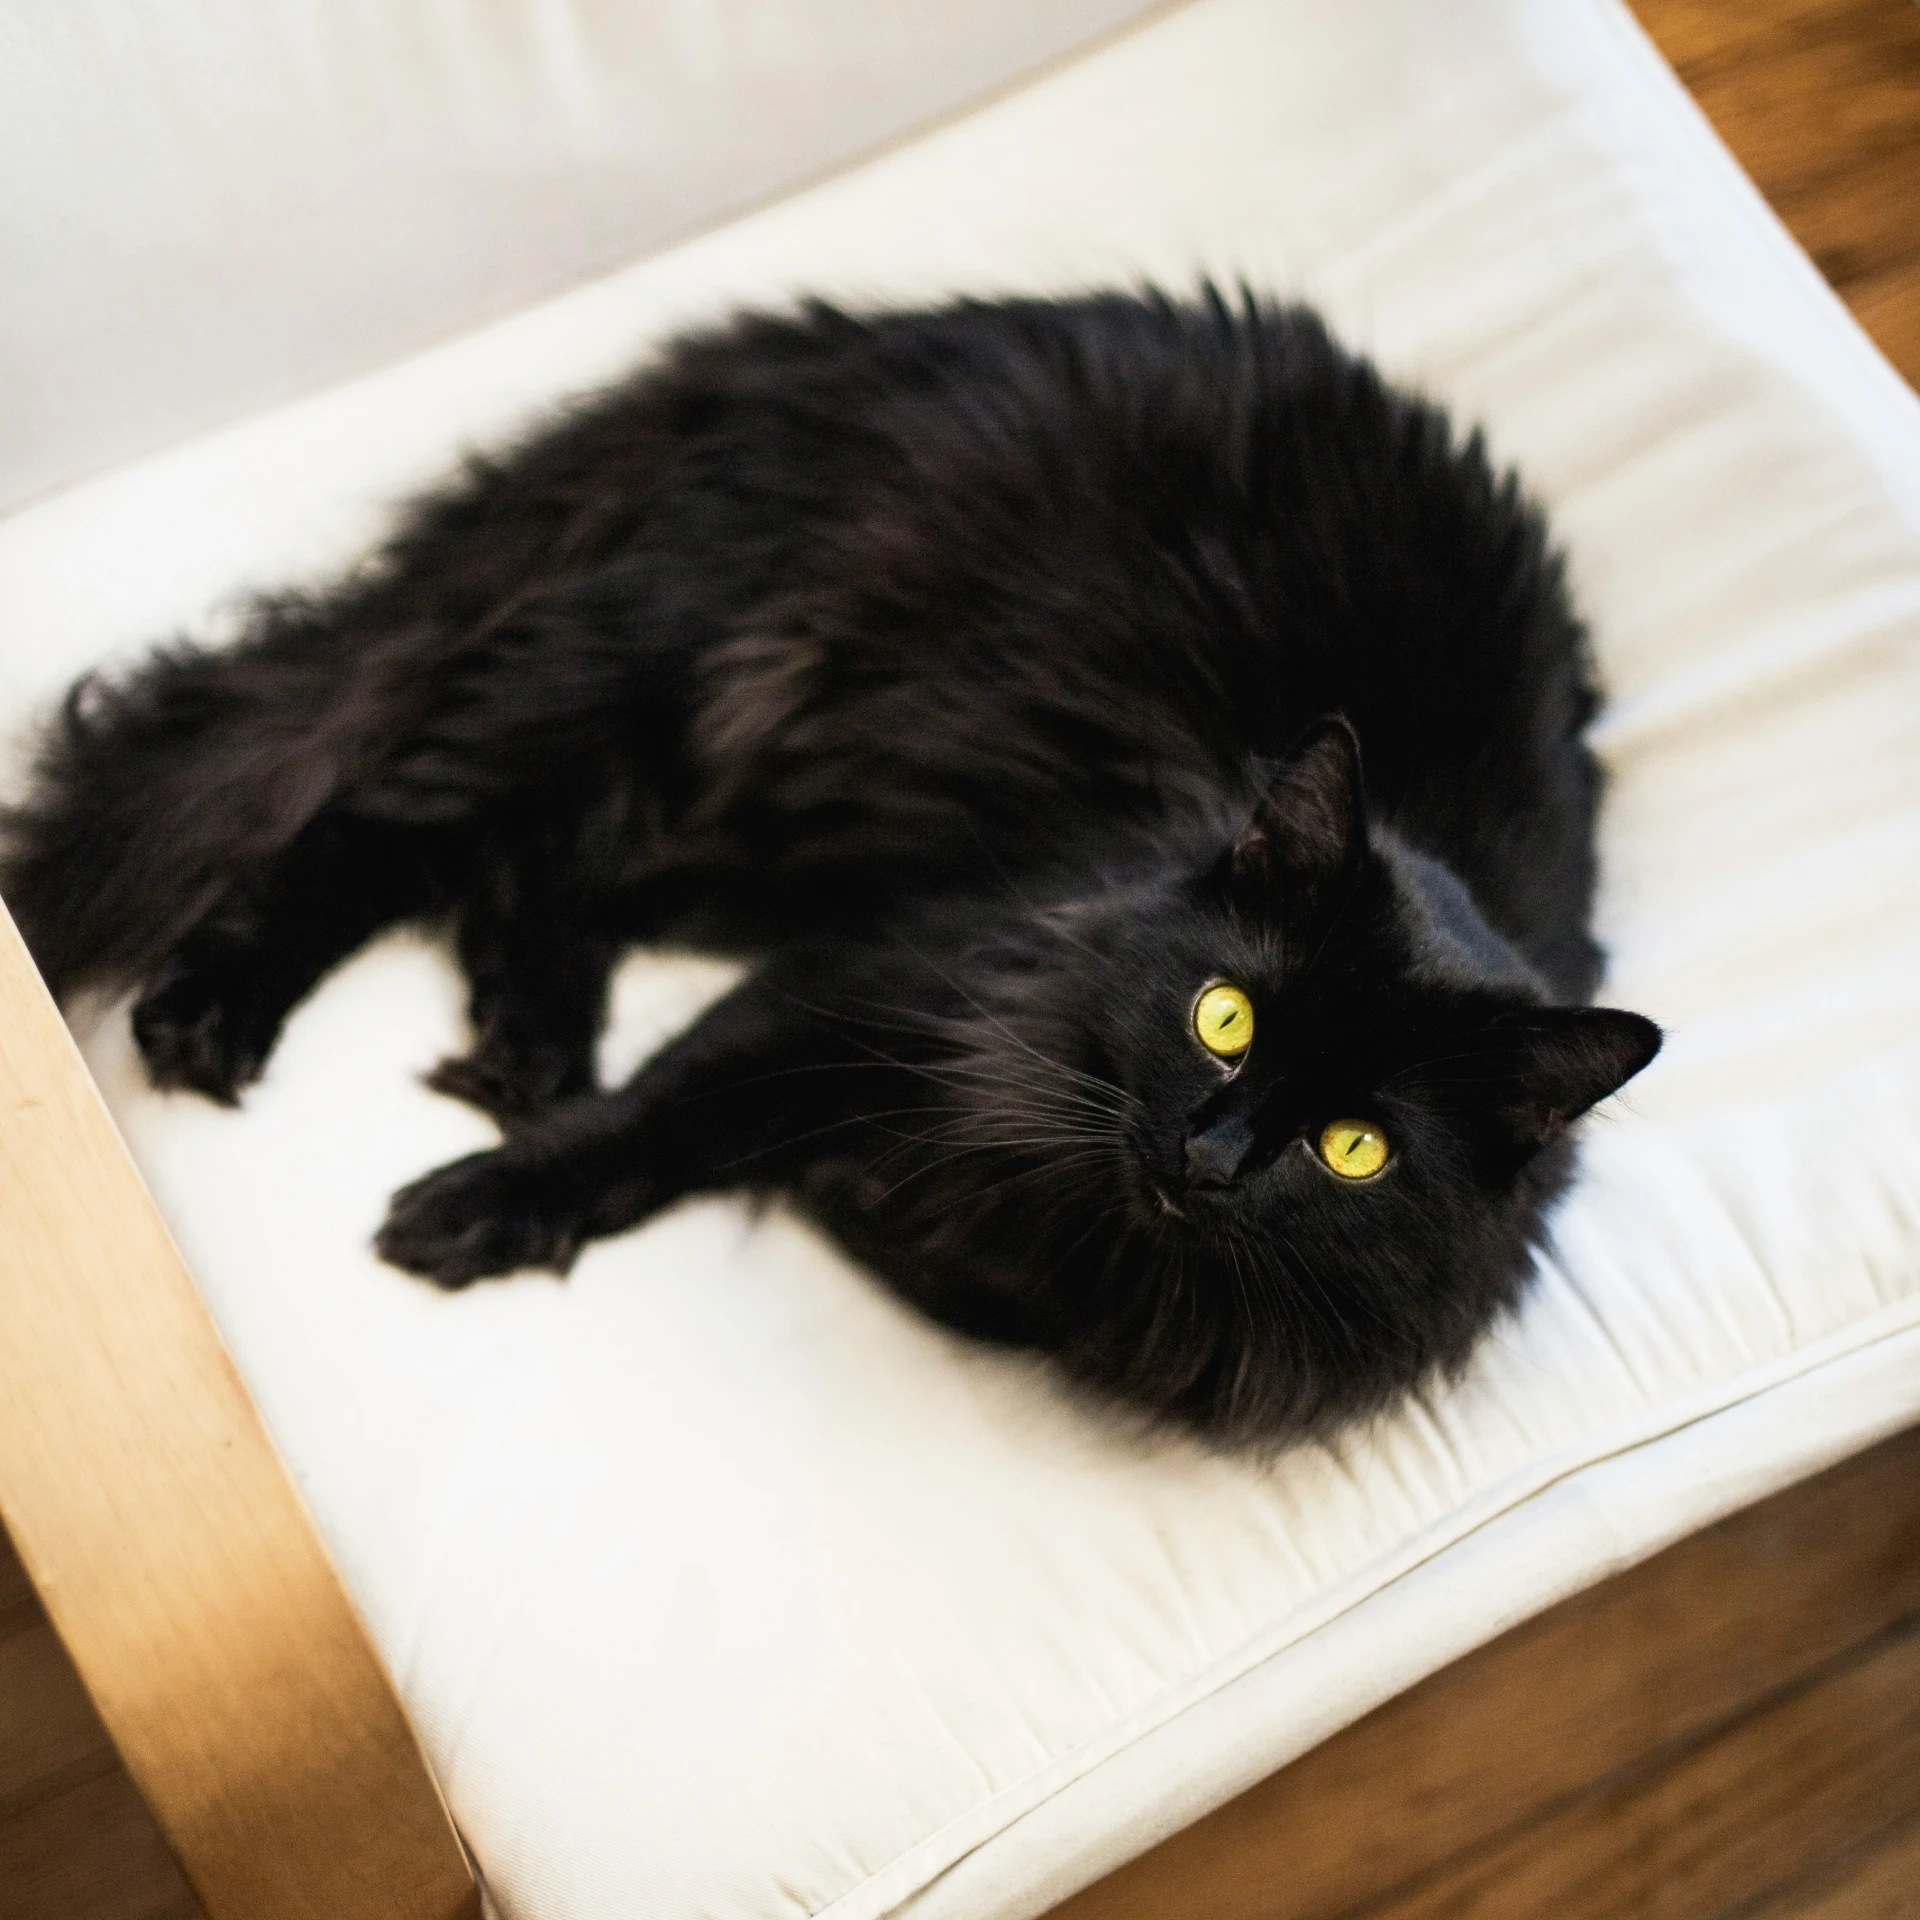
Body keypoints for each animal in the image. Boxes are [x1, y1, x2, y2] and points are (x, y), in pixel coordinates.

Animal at [0, 288, 1658, 1443]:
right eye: (1225, 1017)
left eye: (1356, 1149)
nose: (1215, 1155)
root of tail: (811, 352)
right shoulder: (875, 974)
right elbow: (657, 1120)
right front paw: (474, 1211)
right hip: (688, 679)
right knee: (384, 819)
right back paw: (220, 1018)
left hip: (757, 800)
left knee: (529, 866)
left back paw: (527, 1042)